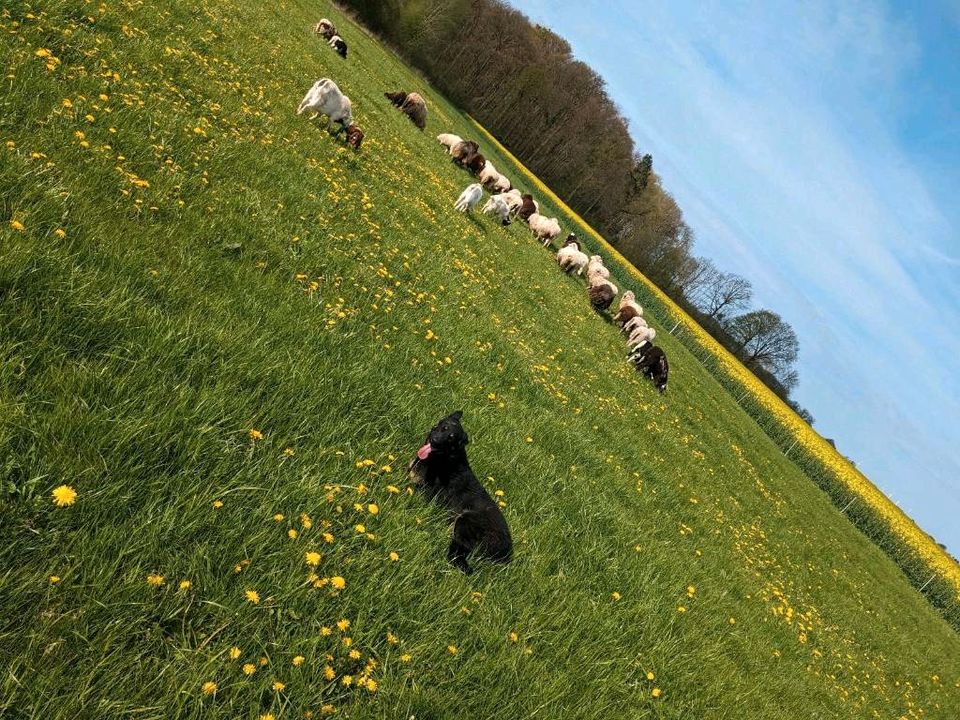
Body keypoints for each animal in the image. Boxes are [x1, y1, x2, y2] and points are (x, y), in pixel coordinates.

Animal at [408, 410, 512, 572]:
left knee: (458, 552)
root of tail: (506, 557)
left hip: (465, 520)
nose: (435, 440)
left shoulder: (430, 496)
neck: (445, 460)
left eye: (451, 438)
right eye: (443, 427)